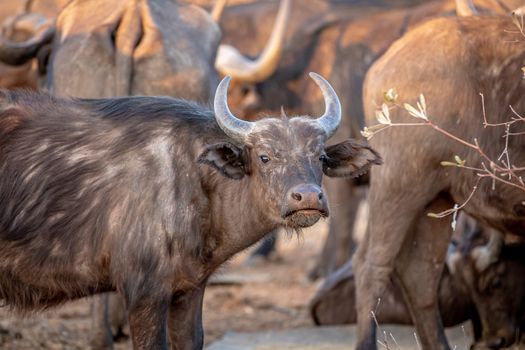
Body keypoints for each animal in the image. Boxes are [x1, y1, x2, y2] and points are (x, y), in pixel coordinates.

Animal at [354, 6, 524, 348]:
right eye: (494, 285)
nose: (495, 340)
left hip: (437, 198)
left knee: (420, 274)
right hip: (398, 184)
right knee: (370, 268)